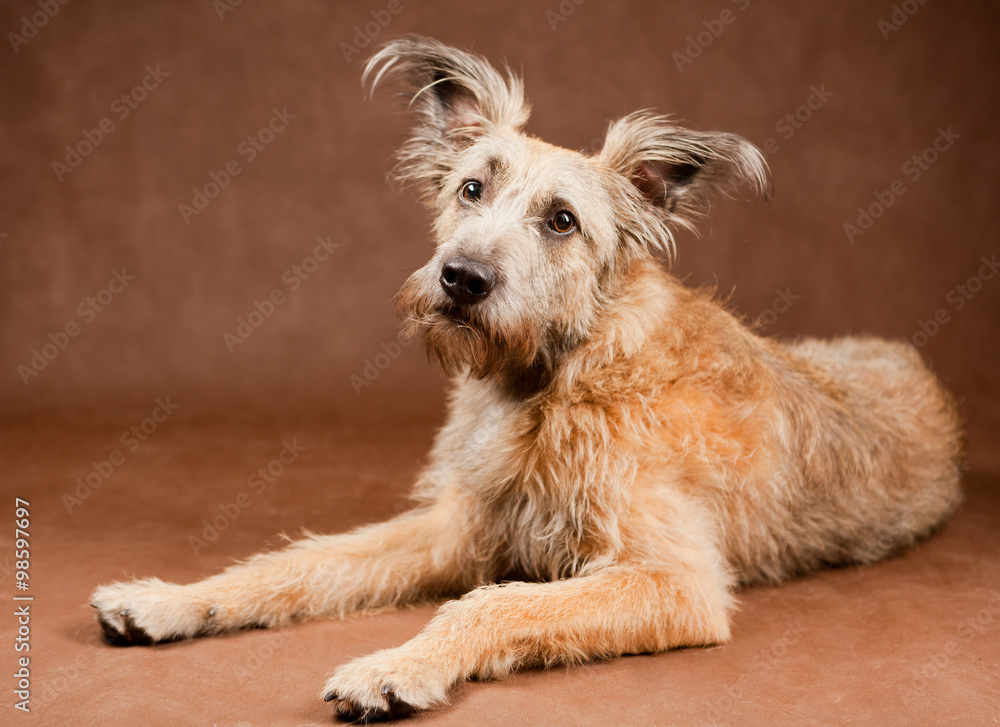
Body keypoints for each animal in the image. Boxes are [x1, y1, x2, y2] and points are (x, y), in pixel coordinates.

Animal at [90, 37, 964, 720]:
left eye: (562, 220)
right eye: (471, 188)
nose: (462, 277)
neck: (556, 375)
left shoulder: (673, 579)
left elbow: (495, 599)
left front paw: (397, 665)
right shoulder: (457, 526)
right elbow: (300, 561)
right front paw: (171, 599)